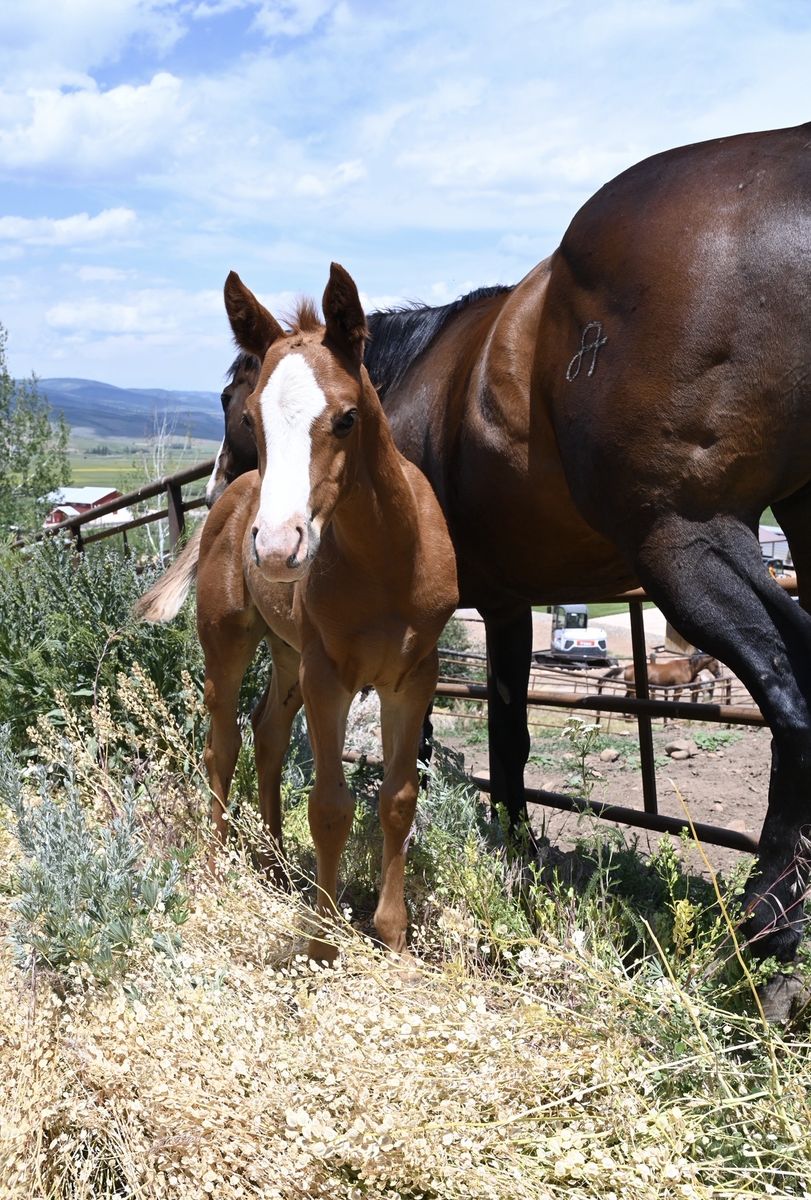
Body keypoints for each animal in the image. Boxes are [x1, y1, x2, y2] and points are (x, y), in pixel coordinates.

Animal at [194, 264, 457, 962]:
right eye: (252, 419)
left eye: (346, 418)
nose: (275, 547)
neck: (388, 558)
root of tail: (232, 500)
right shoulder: (329, 677)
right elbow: (331, 805)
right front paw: (323, 934)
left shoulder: (413, 676)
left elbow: (397, 797)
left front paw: (391, 930)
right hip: (230, 643)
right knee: (222, 744)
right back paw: (217, 861)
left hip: (288, 655)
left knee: (266, 733)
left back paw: (278, 862)